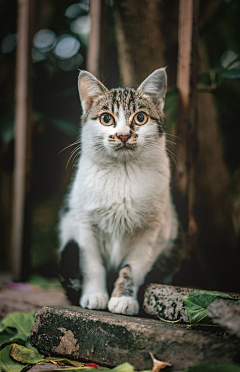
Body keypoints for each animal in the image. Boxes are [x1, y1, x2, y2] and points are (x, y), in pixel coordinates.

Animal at [58, 68, 184, 316]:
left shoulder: (151, 233)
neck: (123, 173)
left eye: (140, 118)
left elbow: (132, 269)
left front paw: (123, 298)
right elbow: (92, 266)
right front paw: (94, 296)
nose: (124, 135)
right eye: (106, 119)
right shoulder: (84, 226)